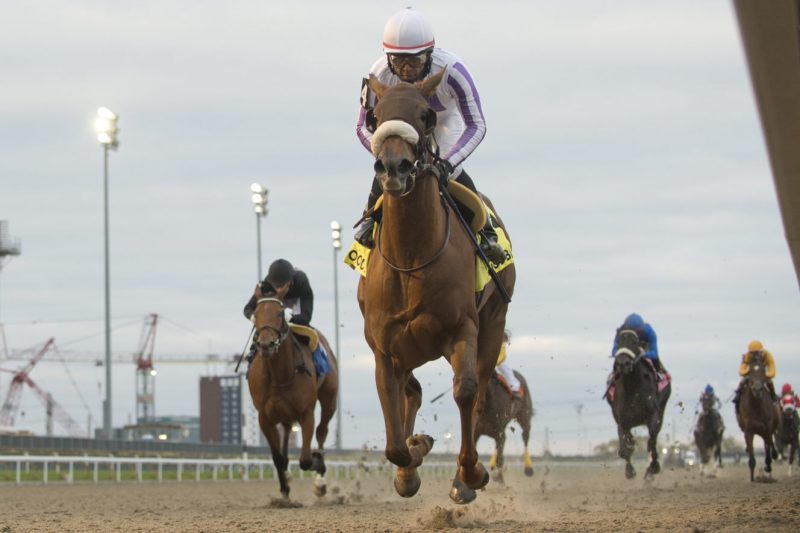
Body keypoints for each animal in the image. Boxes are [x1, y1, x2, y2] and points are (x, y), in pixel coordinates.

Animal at [248, 286, 340, 498]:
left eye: (280, 313)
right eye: (256, 313)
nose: (265, 345)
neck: (279, 375)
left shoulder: (307, 413)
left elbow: (306, 460)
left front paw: (317, 463)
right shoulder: (264, 417)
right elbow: (278, 458)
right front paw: (284, 489)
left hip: (329, 400)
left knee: (322, 431)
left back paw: (320, 479)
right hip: (284, 413)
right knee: (287, 432)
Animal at [358, 71, 520, 502]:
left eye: (426, 115)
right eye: (374, 116)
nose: (393, 167)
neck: (413, 256)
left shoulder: (463, 329)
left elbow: (467, 392)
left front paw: (469, 474)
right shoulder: (384, 346)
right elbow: (394, 439)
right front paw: (410, 464)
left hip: (492, 326)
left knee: (476, 390)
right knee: (411, 391)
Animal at [608, 328, 668, 478]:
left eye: (634, 342)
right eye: (618, 342)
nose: (622, 363)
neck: (633, 388)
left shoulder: (653, 416)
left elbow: (651, 441)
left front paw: (654, 468)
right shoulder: (622, 421)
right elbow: (626, 448)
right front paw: (630, 471)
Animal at [736, 352, 780, 480]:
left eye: (763, 370)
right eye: (750, 371)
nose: (757, 389)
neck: (755, 406)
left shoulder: (767, 427)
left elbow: (769, 444)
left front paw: (768, 465)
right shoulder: (748, 431)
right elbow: (751, 454)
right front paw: (752, 478)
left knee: (770, 443)